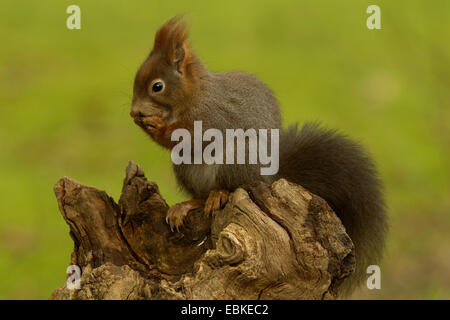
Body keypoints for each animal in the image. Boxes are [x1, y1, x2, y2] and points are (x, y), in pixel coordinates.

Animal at [129, 15, 386, 296]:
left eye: (157, 86)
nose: (134, 112)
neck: (192, 96)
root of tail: (267, 178)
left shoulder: (213, 118)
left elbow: (195, 137)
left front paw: (156, 126)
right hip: (185, 168)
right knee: (200, 194)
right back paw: (187, 205)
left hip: (239, 158)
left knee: (232, 186)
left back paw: (220, 194)